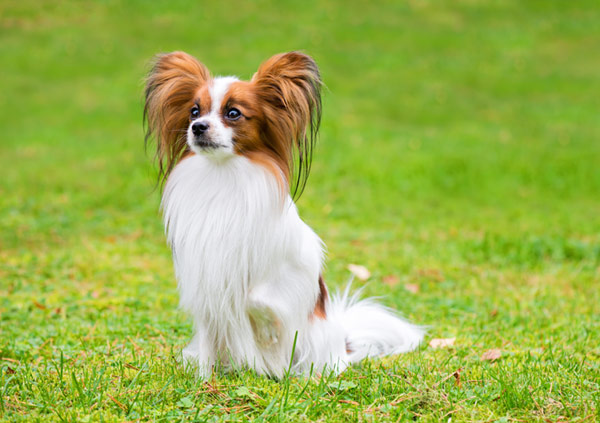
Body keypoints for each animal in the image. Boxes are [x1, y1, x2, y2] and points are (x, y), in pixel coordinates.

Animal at [143, 51, 424, 380]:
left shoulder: (296, 265)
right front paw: (204, 380)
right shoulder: (204, 281)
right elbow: (210, 337)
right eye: (193, 111)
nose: (198, 127)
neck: (224, 176)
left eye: (233, 113)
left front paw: (267, 333)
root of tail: (342, 344)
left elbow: (257, 298)